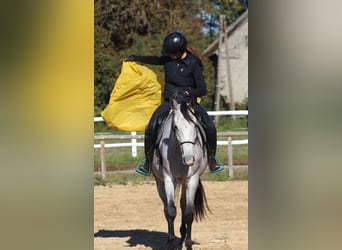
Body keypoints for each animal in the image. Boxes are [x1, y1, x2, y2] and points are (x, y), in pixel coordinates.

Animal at [152, 96, 208, 249]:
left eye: (195, 126)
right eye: (175, 127)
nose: (189, 160)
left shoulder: (192, 180)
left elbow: (188, 213)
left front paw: (188, 243)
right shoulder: (168, 180)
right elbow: (171, 211)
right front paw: (171, 243)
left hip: (184, 182)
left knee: (183, 205)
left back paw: (182, 236)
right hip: (160, 183)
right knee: (166, 208)